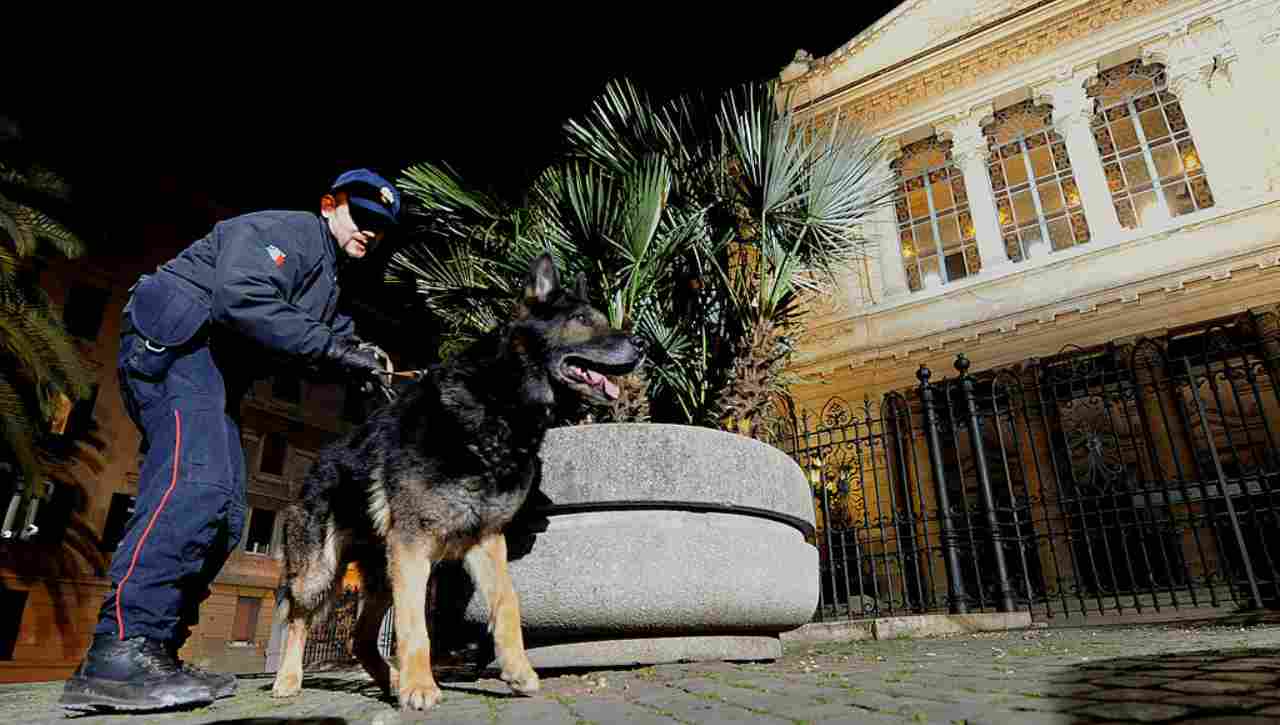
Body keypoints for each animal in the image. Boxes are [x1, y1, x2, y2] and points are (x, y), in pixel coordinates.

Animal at [275, 254, 645, 712]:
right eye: (580, 320)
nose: (642, 345)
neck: (497, 405)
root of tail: (318, 464)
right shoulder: (413, 546)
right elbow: (416, 625)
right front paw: (420, 687)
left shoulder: (485, 541)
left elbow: (506, 604)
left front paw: (517, 671)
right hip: (320, 573)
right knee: (297, 616)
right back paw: (289, 680)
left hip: (382, 576)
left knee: (359, 639)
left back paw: (389, 681)